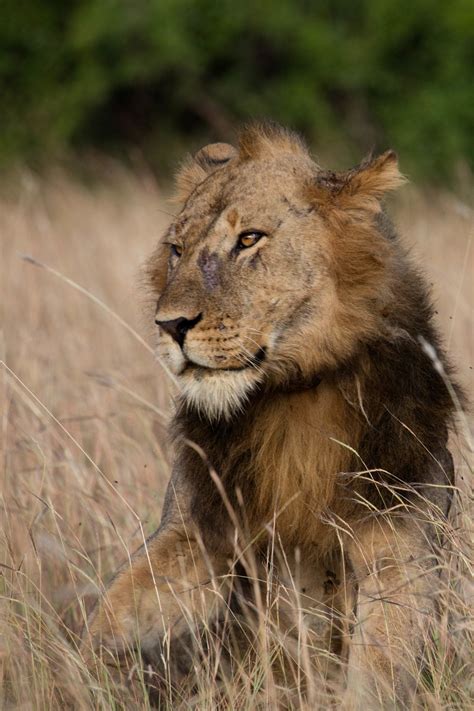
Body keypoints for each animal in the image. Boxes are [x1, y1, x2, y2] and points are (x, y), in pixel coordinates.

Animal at [83, 125, 462, 708]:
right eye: (176, 250)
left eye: (248, 240)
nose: (170, 326)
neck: (295, 391)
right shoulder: (197, 531)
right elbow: (114, 615)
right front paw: (71, 674)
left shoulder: (401, 555)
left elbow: (376, 672)